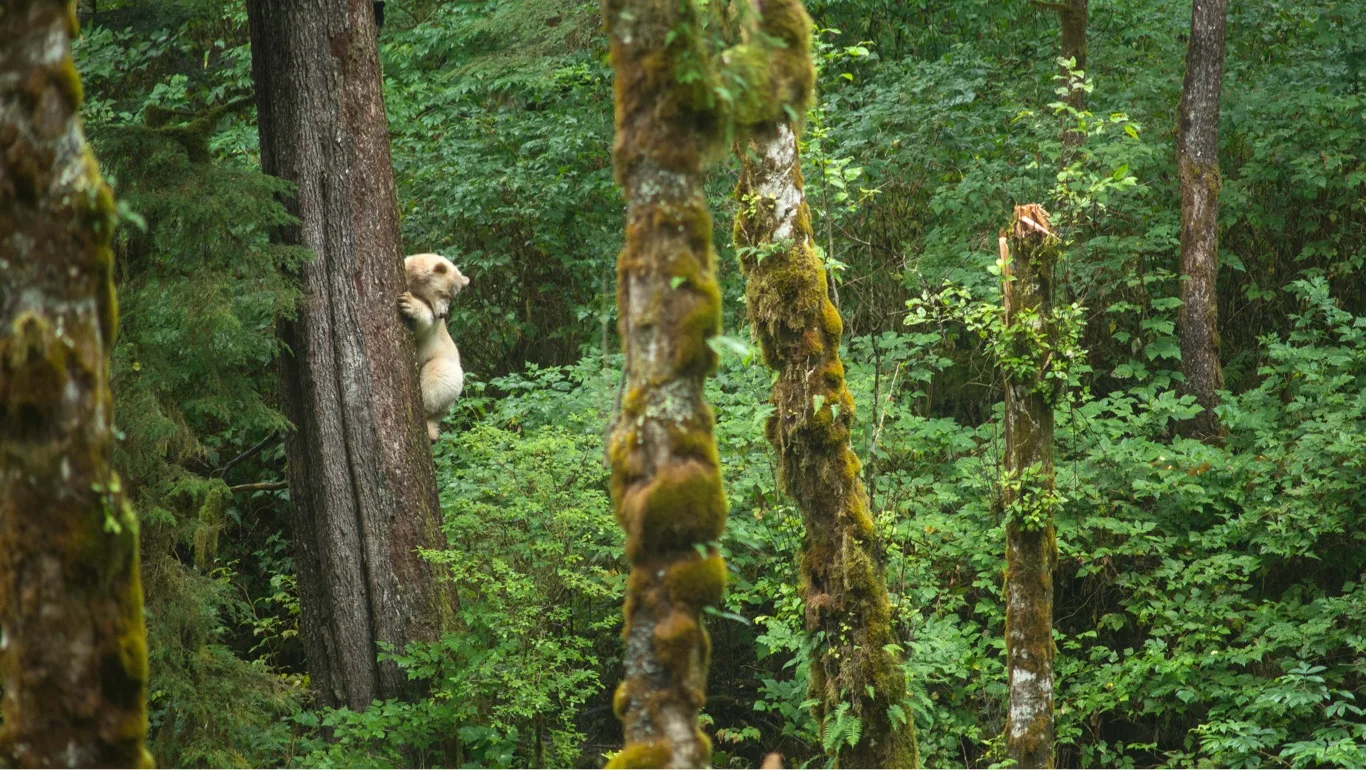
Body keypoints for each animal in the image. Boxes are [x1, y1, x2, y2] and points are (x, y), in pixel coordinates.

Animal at [398, 253, 469, 442]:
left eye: (452, 297)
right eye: (444, 293)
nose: (443, 314)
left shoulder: (433, 324)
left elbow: (424, 324)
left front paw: (408, 303)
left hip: (446, 370)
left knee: (435, 378)